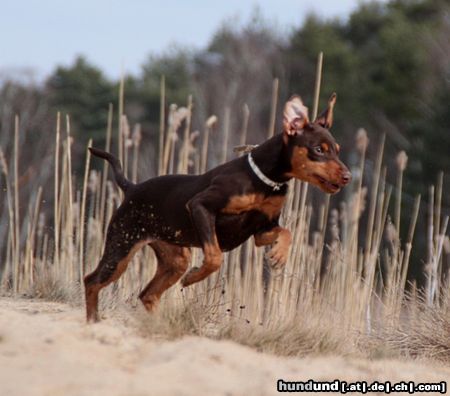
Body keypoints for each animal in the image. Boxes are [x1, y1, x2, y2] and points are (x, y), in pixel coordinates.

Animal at [84, 93, 352, 322]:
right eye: (318, 150)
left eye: (337, 151)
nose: (348, 176)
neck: (266, 181)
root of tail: (131, 187)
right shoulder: (201, 207)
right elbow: (214, 257)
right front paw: (194, 277)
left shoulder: (262, 229)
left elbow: (287, 232)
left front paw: (279, 255)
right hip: (122, 246)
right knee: (91, 281)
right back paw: (93, 321)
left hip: (175, 257)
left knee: (147, 294)